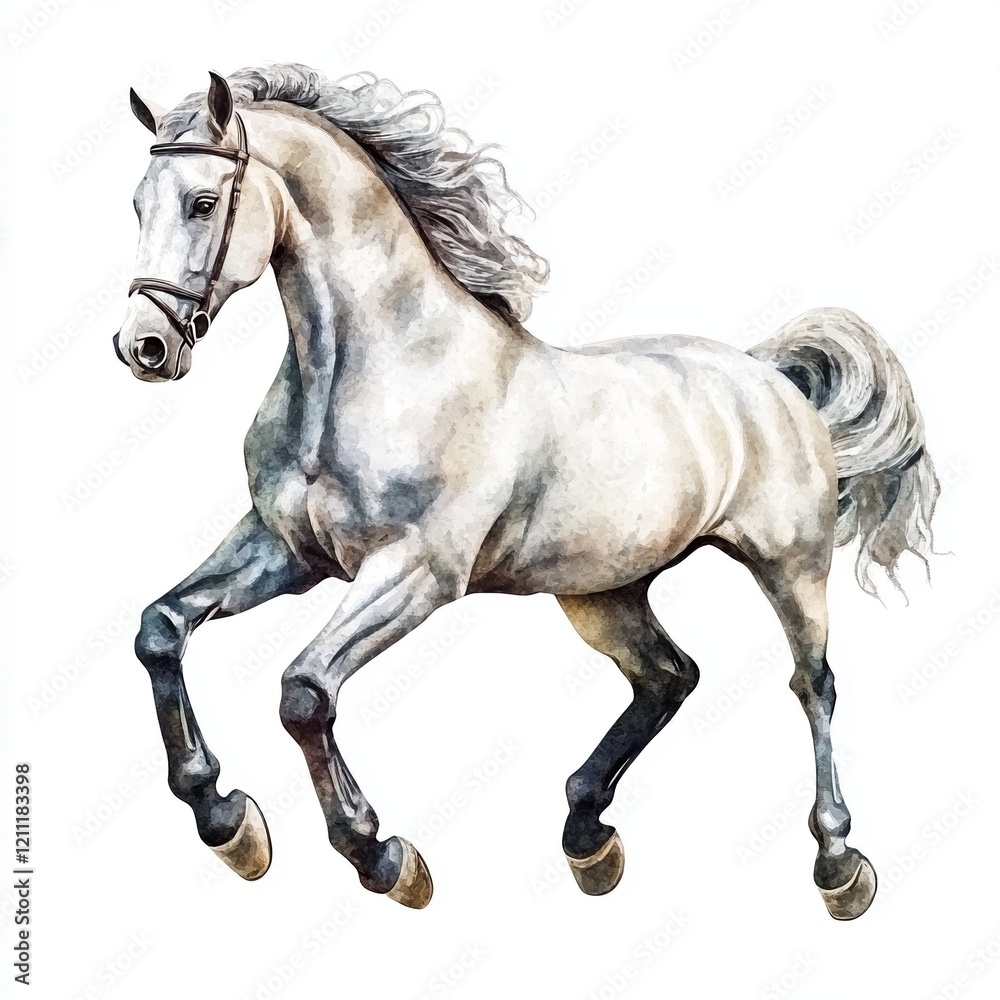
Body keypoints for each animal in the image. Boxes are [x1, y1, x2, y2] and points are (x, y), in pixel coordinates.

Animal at [113, 64, 938, 918]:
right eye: (138, 203)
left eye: (202, 202)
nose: (144, 347)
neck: (381, 369)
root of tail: (769, 374)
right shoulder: (286, 550)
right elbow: (161, 629)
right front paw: (225, 819)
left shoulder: (416, 572)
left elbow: (304, 693)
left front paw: (382, 857)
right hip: (603, 591)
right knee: (669, 677)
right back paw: (588, 838)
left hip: (791, 565)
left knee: (812, 685)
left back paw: (839, 864)